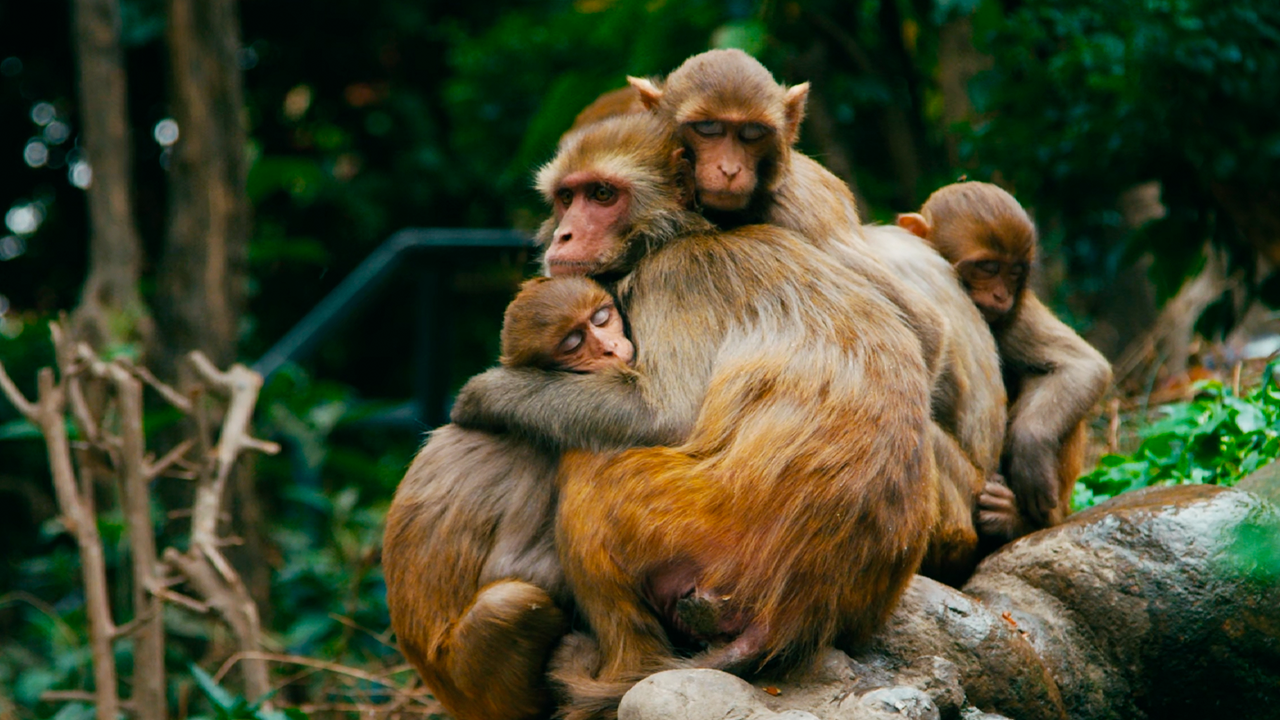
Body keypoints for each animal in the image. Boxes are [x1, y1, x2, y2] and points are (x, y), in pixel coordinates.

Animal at [382, 277, 635, 720]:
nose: (609, 348)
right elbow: (515, 567)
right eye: (573, 342)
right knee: (509, 604)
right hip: (473, 686)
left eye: (602, 317)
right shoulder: (549, 450)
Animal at [450, 112, 938, 720]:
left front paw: (482, 394)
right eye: (566, 197)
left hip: (703, 532)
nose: (563, 235)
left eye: (603, 195)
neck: (685, 233)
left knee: (590, 467)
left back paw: (620, 668)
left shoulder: (673, 279)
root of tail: (801, 609)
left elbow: (661, 417)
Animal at [896, 181, 1113, 533]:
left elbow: (1082, 364)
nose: (1001, 295)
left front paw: (1030, 447)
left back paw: (1019, 520)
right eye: (988, 268)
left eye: (1014, 273)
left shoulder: (1016, 311)